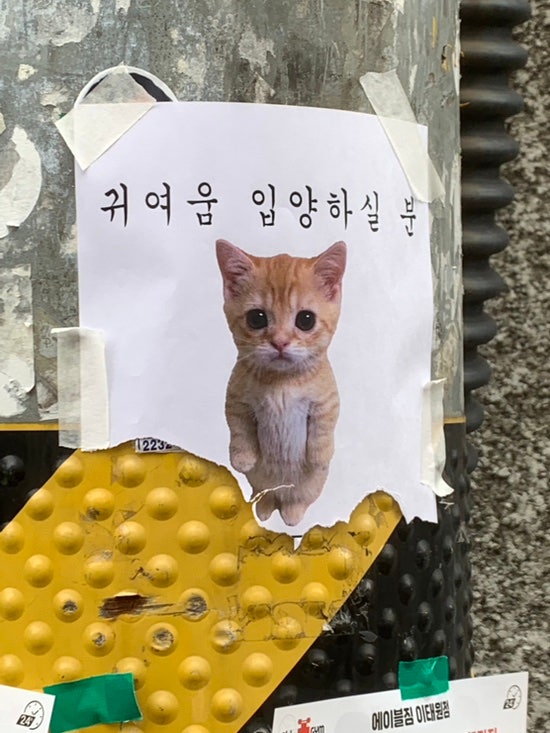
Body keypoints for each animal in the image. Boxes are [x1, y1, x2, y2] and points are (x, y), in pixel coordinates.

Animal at [215, 238, 346, 526]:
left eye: (306, 320)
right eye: (257, 318)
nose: (280, 342)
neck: (282, 382)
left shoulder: (327, 400)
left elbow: (323, 428)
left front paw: (320, 456)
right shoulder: (236, 398)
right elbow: (239, 427)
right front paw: (242, 458)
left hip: (308, 489)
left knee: (297, 499)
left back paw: (292, 514)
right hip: (261, 484)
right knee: (266, 494)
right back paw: (265, 509)